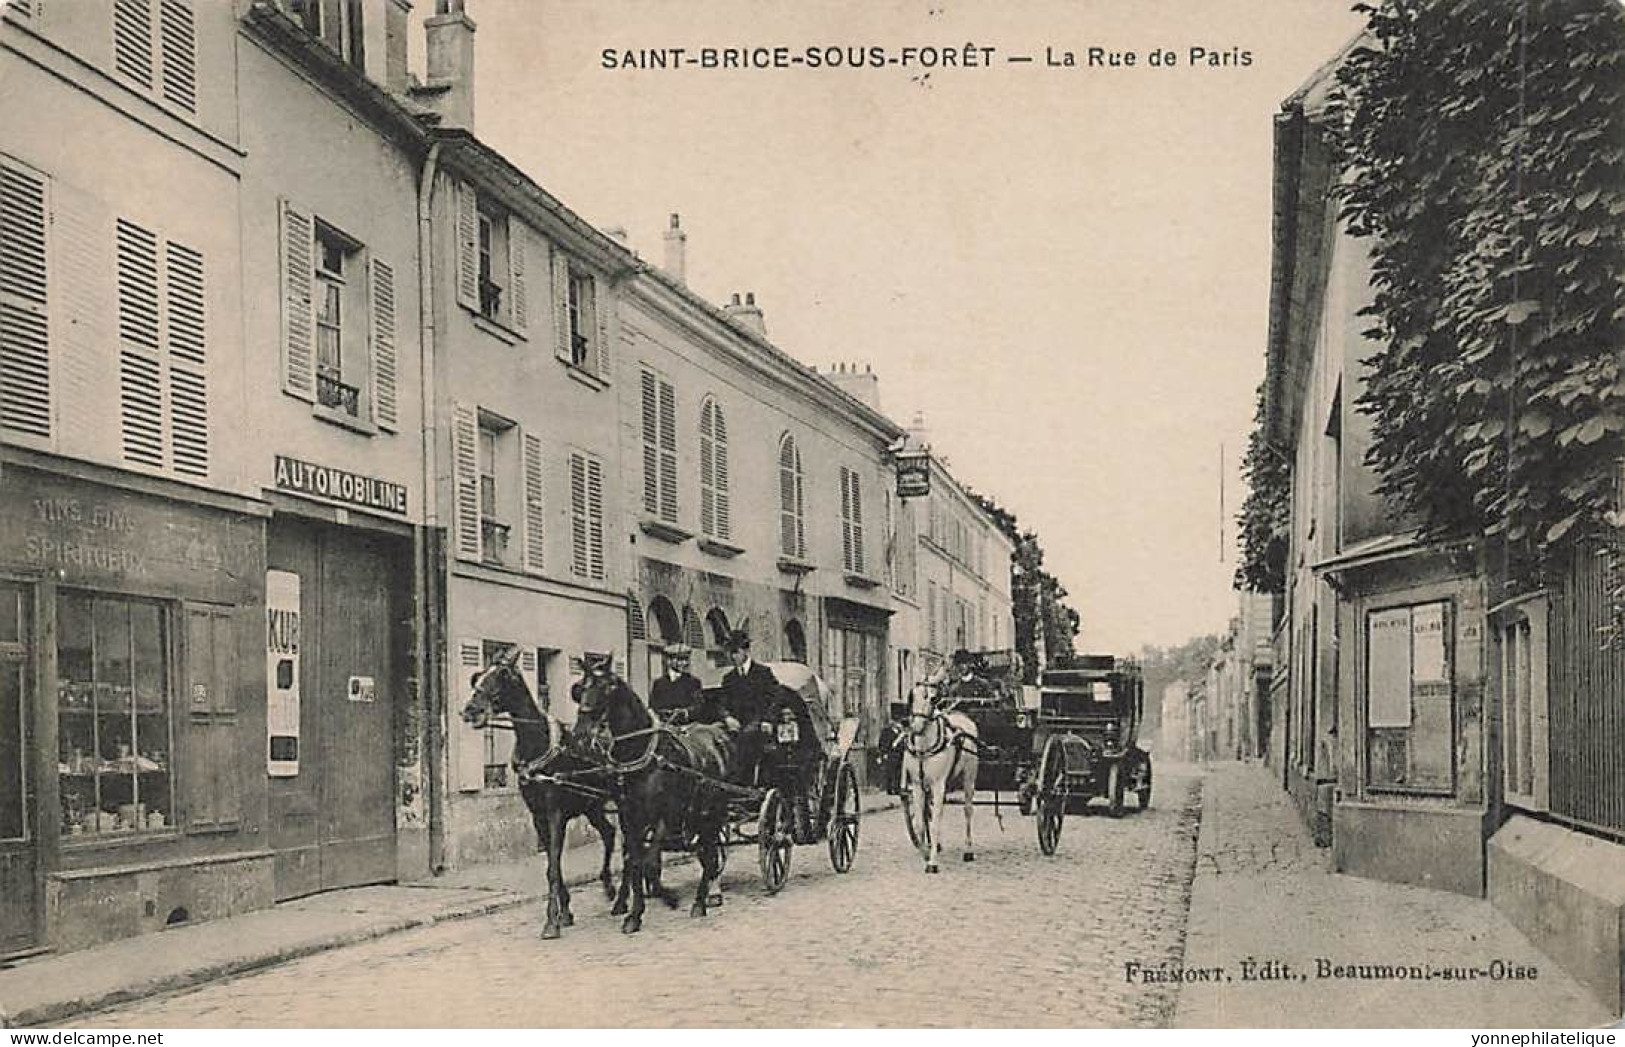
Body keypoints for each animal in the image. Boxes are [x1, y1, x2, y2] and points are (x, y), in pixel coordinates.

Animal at [464, 647, 627, 942]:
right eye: (478, 675)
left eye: (502, 674)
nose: (471, 710)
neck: (536, 744)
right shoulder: (538, 816)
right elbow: (552, 865)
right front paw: (565, 912)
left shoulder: (555, 814)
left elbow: (552, 865)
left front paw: (551, 921)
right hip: (592, 805)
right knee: (609, 833)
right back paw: (608, 887)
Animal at [575, 666, 734, 936]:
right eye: (582, 687)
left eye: (606, 687)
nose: (582, 732)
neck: (643, 756)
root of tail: (717, 733)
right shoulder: (630, 819)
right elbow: (635, 862)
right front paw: (633, 915)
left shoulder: (665, 817)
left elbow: (648, 862)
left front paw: (668, 897)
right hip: (698, 814)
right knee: (707, 854)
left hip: (713, 813)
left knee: (711, 854)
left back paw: (701, 902)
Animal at [903, 676, 975, 871]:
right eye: (911, 696)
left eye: (933, 698)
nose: (915, 727)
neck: (923, 747)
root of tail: (962, 716)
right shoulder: (917, 785)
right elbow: (920, 823)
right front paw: (926, 853)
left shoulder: (938, 784)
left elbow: (934, 823)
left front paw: (932, 863)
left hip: (969, 777)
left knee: (967, 811)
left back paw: (968, 851)